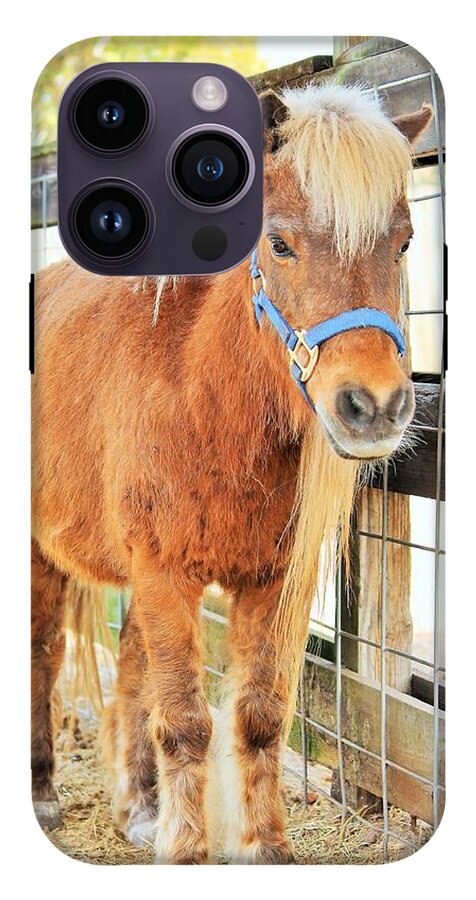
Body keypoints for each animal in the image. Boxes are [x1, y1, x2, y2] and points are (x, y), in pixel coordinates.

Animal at [31, 81, 432, 863]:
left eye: (403, 242)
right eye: (278, 242)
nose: (374, 407)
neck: (204, 394)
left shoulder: (272, 583)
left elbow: (259, 716)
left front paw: (264, 849)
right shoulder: (164, 572)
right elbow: (187, 722)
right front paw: (188, 852)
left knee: (131, 668)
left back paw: (139, 808)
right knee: (43, 654)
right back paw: (42, 792)